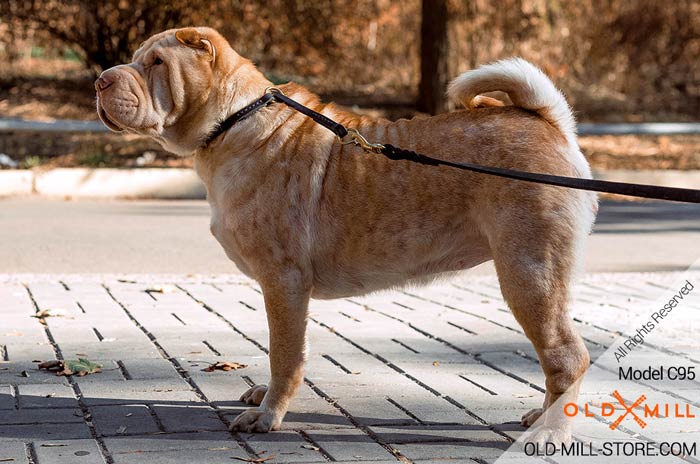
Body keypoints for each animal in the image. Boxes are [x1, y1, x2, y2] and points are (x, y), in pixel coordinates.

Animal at [95, 27, 600, 444]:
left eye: (156, 62)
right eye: (137, 58)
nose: (101, 80)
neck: (233, 121)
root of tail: (549, 121)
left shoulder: (283, 280)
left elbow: (284, 353)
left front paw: (267, 415)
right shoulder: (285, 289)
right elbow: (287, 350)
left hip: (528, 271)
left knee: (566, 356)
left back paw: (549, 432)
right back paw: (540, 417)